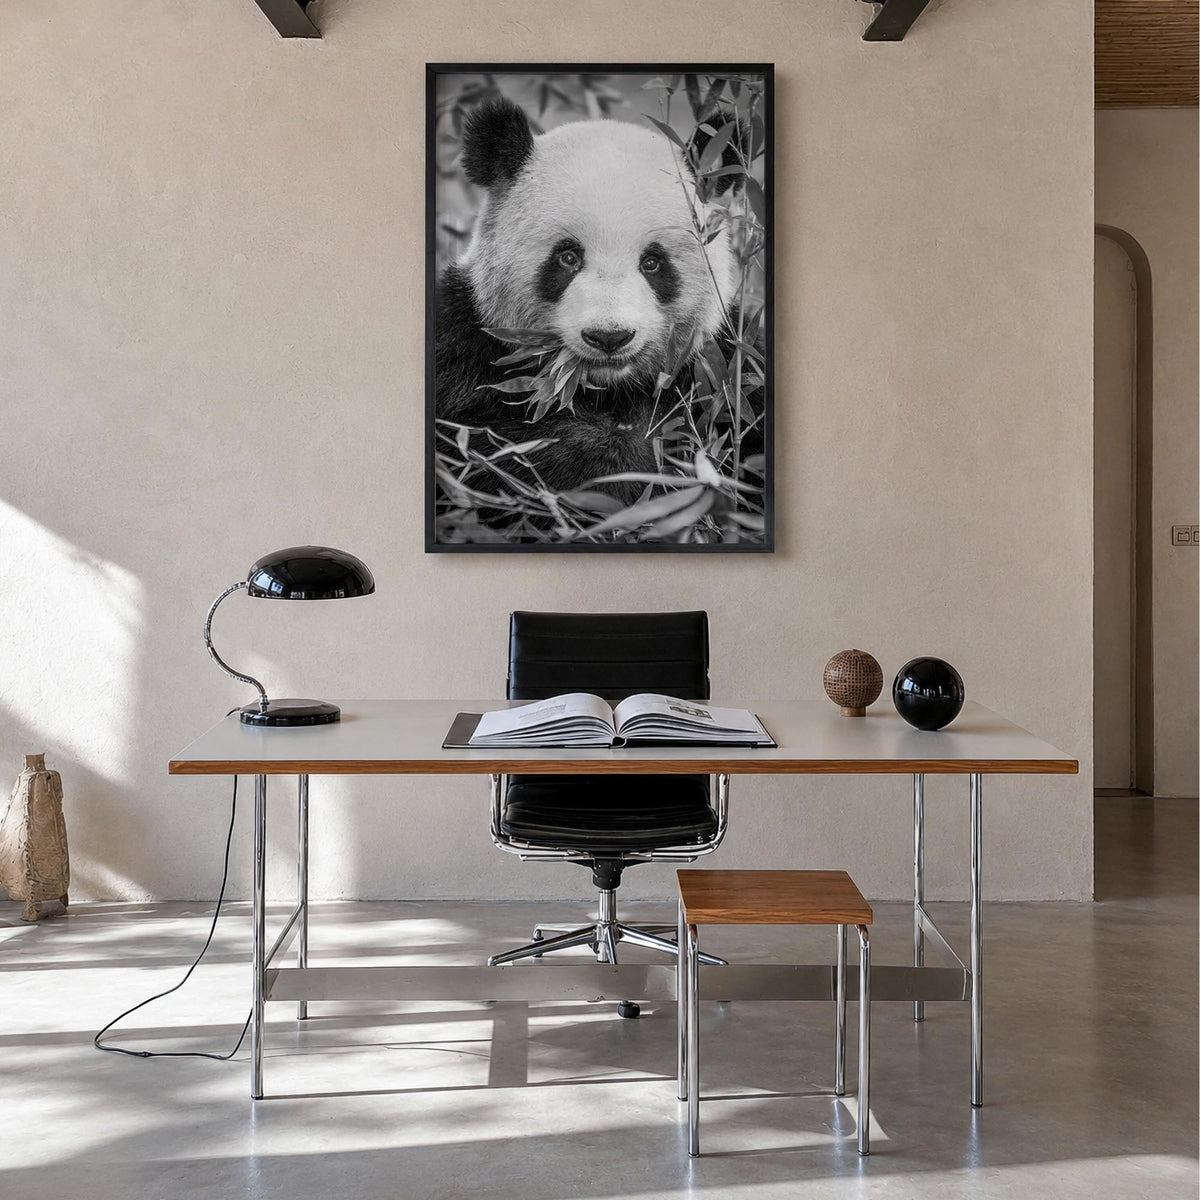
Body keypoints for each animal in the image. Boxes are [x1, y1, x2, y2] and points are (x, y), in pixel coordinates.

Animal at [434, 96, 762, 535]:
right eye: (568, 257)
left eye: (653, 263)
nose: (609, 337)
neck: (606, 388)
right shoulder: (462, 344)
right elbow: (480, 450)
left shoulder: (725, 365)